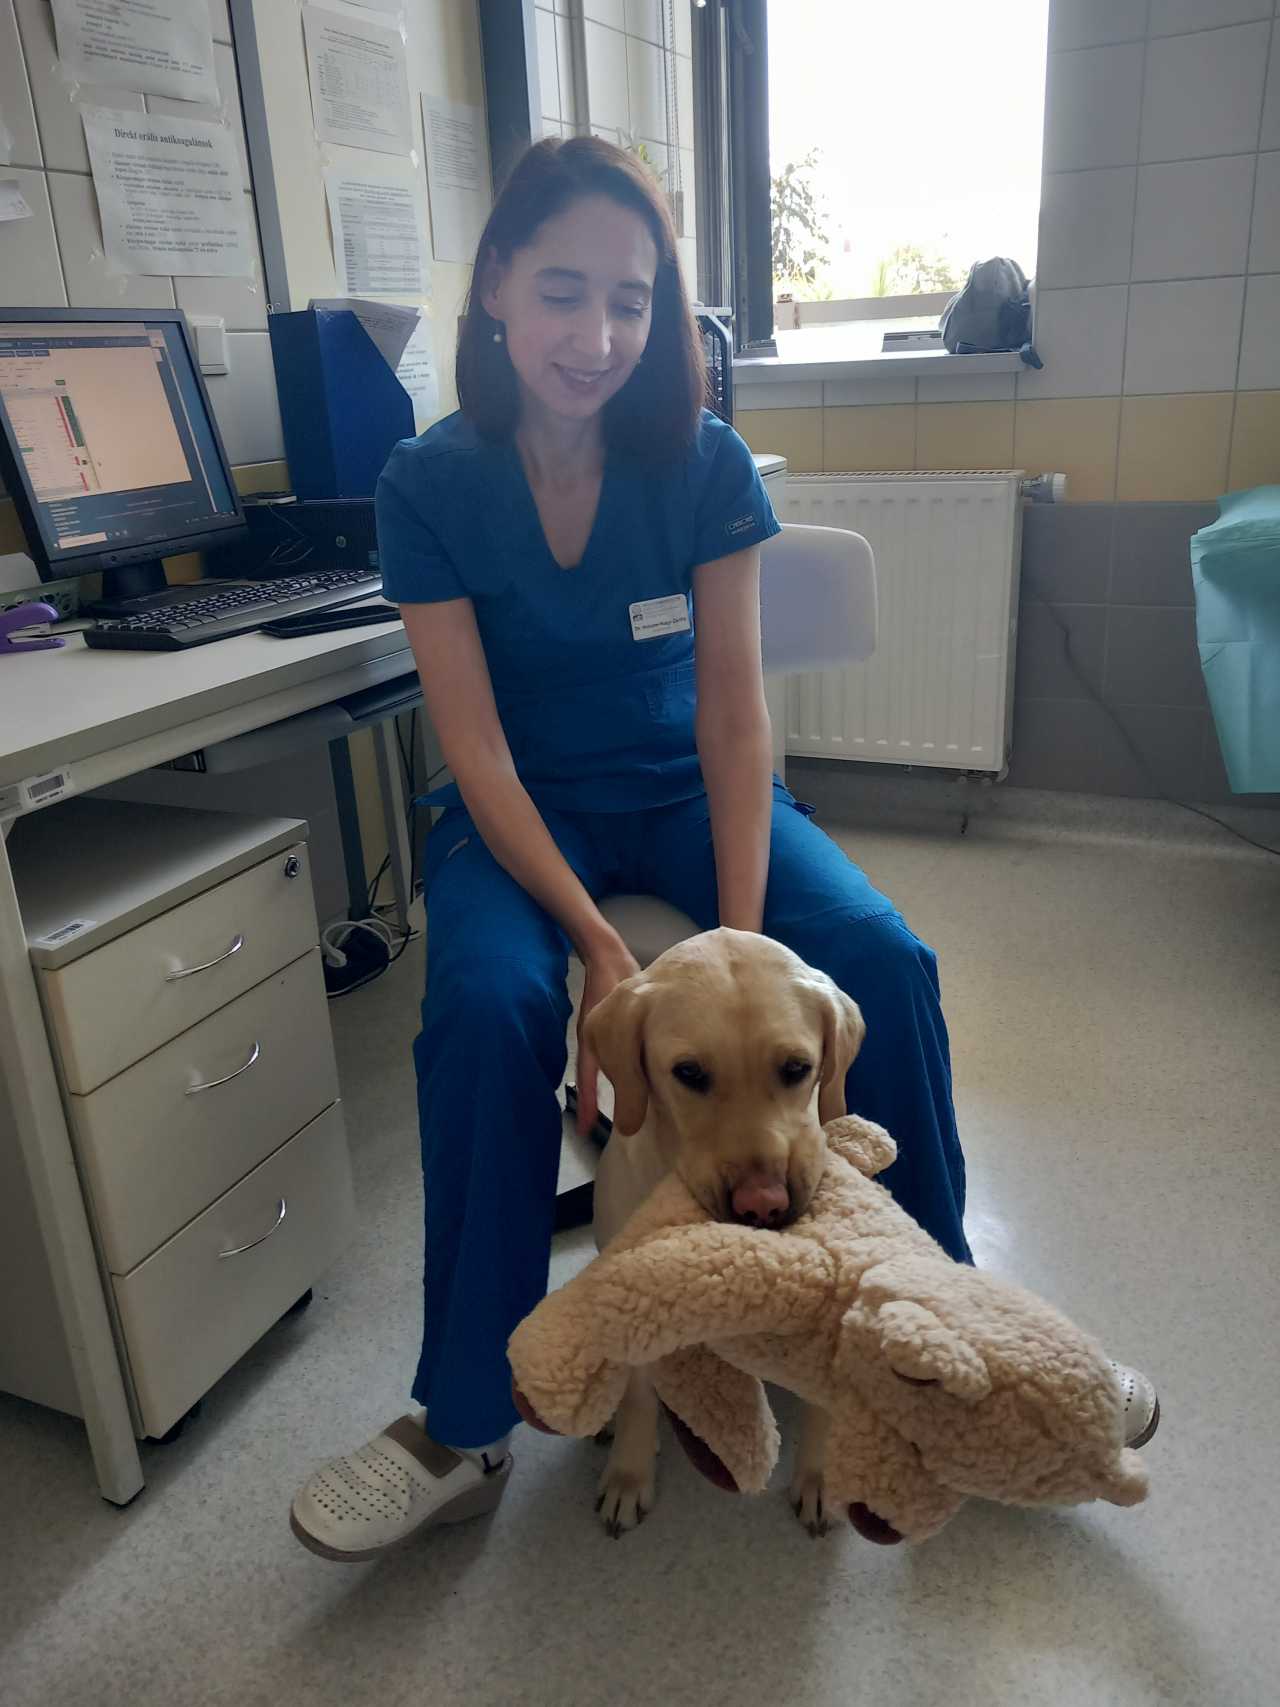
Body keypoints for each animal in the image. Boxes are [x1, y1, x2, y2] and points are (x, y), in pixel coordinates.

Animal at [585, 927, 865, 1536]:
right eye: (689, 1073)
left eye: (796, 1068)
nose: (764, 1205)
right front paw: (629, 1475)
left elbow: (825, 1402)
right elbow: (639, 1400)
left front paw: (820, 1474)